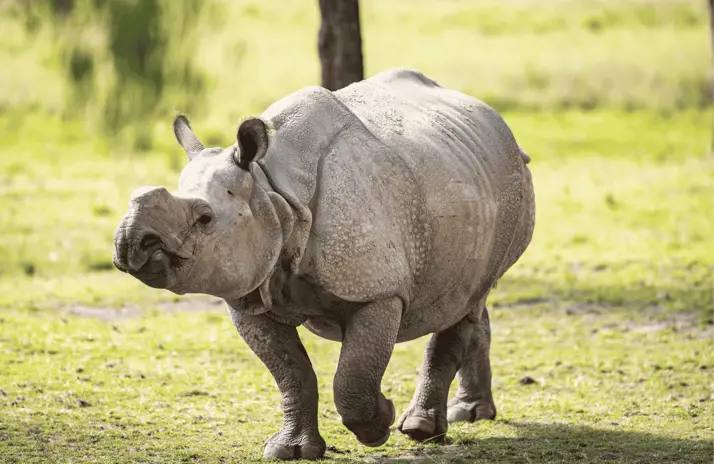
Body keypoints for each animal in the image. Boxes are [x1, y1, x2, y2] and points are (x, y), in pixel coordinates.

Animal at [113, 68, 535, 460]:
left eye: (204, 218)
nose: (130, 241)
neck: (271, 191)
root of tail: (500, 124)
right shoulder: (250, 289)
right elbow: (292, 372)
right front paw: (290, 450)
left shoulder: (377, 289)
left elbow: (353, 375)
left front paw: (379, 423)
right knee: (470, 293)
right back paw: (472, 414)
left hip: (508, 186)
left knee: (469, 297)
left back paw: (420, 429)